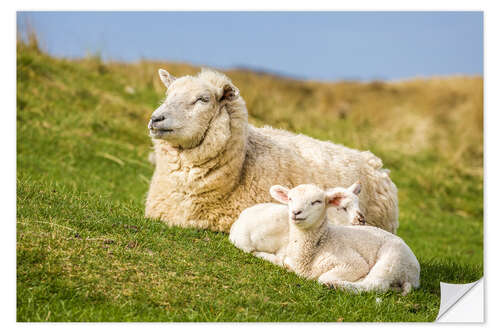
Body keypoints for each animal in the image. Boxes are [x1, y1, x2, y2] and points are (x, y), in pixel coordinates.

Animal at [270, 182, 418, 294]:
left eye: (317, 201)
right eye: (290, 198)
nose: (296, 212)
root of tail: (415, 276)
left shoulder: (353, 263)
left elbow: (323, 277)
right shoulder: (288, 262)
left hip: (393, 258)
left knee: (375, 284)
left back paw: (338, 285)